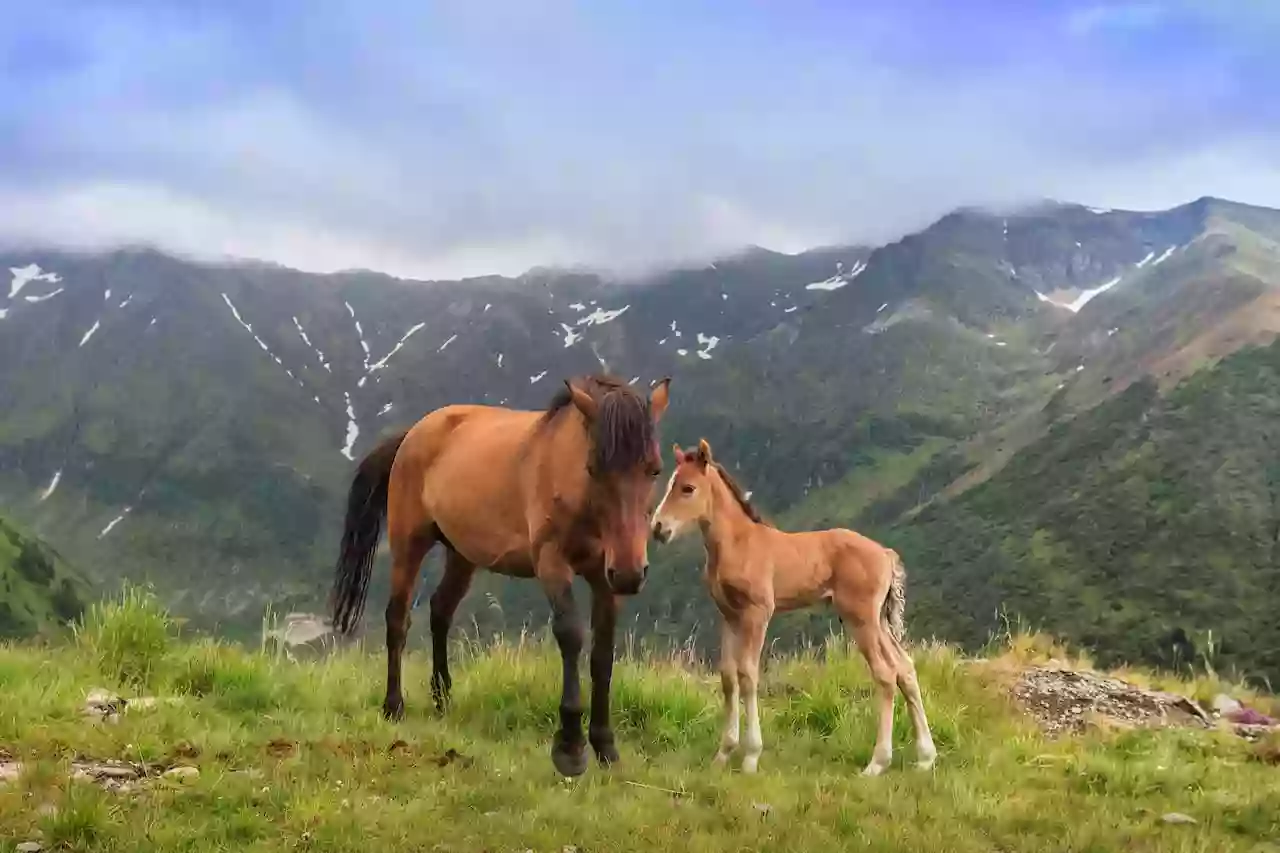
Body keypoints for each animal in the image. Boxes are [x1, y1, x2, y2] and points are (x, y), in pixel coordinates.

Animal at [327, 368, 670, 773]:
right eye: (594, 469)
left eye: (654, 469)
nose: (631, 573)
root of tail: (413, 432)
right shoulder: (552, 562)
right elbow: (570, 635)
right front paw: (569, 747)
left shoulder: (604, 577)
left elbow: (603, 653)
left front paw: (605, 745)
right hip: (408, 546)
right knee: (398, 619)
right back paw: (394, 706)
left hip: (462, 555)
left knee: (440, 611)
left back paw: (442, 697)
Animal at [655, 440, 936, 773]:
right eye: (669, 484)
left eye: (687, 488)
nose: (658, 528)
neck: (738, 543)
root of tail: (885, 554)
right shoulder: (729, 615)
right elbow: (728, 677)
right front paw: (723, 754)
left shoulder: (758, 613)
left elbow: (748, 674)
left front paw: (750, 756)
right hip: (878, 620)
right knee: (905, 668)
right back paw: (925, 757)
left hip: (861, 618)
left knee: (885, 674)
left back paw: (877, 763)